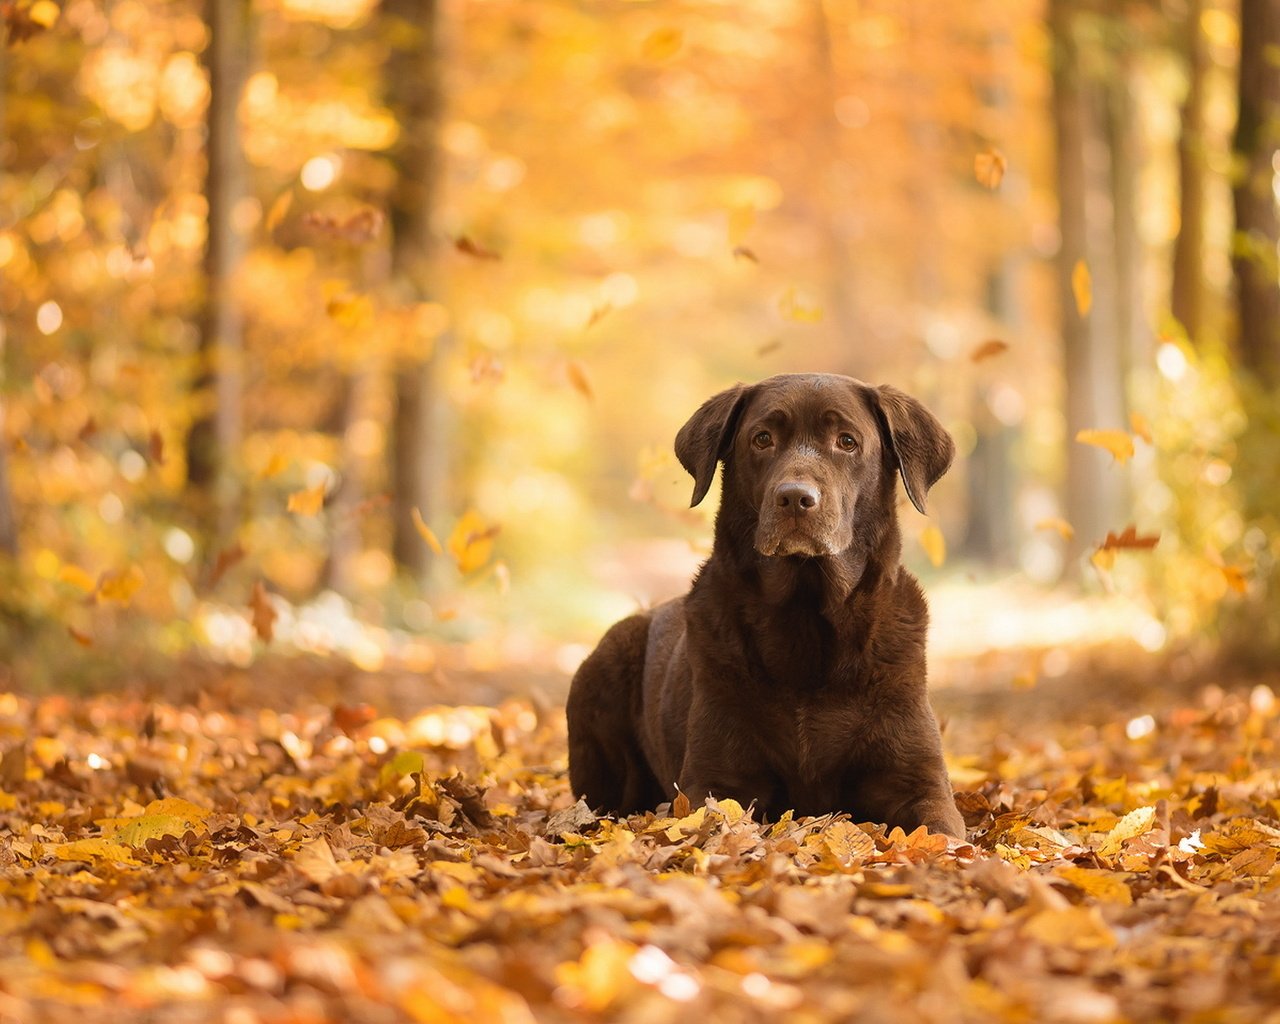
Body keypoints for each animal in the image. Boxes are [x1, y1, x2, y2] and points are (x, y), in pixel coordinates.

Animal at [565, 371, 962, 834]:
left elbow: (940, 831)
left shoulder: (919, 783)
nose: (795, 498)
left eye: (847, 441)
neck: (805, 619)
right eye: (762, 439)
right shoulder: (715, 781)